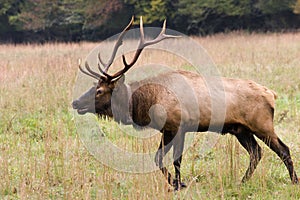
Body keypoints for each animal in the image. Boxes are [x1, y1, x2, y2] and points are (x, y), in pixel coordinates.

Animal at [72, 16, 298, 190]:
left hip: (262, 124)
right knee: (256, 153)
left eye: (99, 91)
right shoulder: (168, 129)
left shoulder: (177, 126)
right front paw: (177, 183)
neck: (147, 104)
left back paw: (294, 181)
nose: (75, 102)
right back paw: (242, 182)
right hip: (241, 129)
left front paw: (178, 184)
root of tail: (272, 94)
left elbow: (171, 159)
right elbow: (163, 159)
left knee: (283, 149)